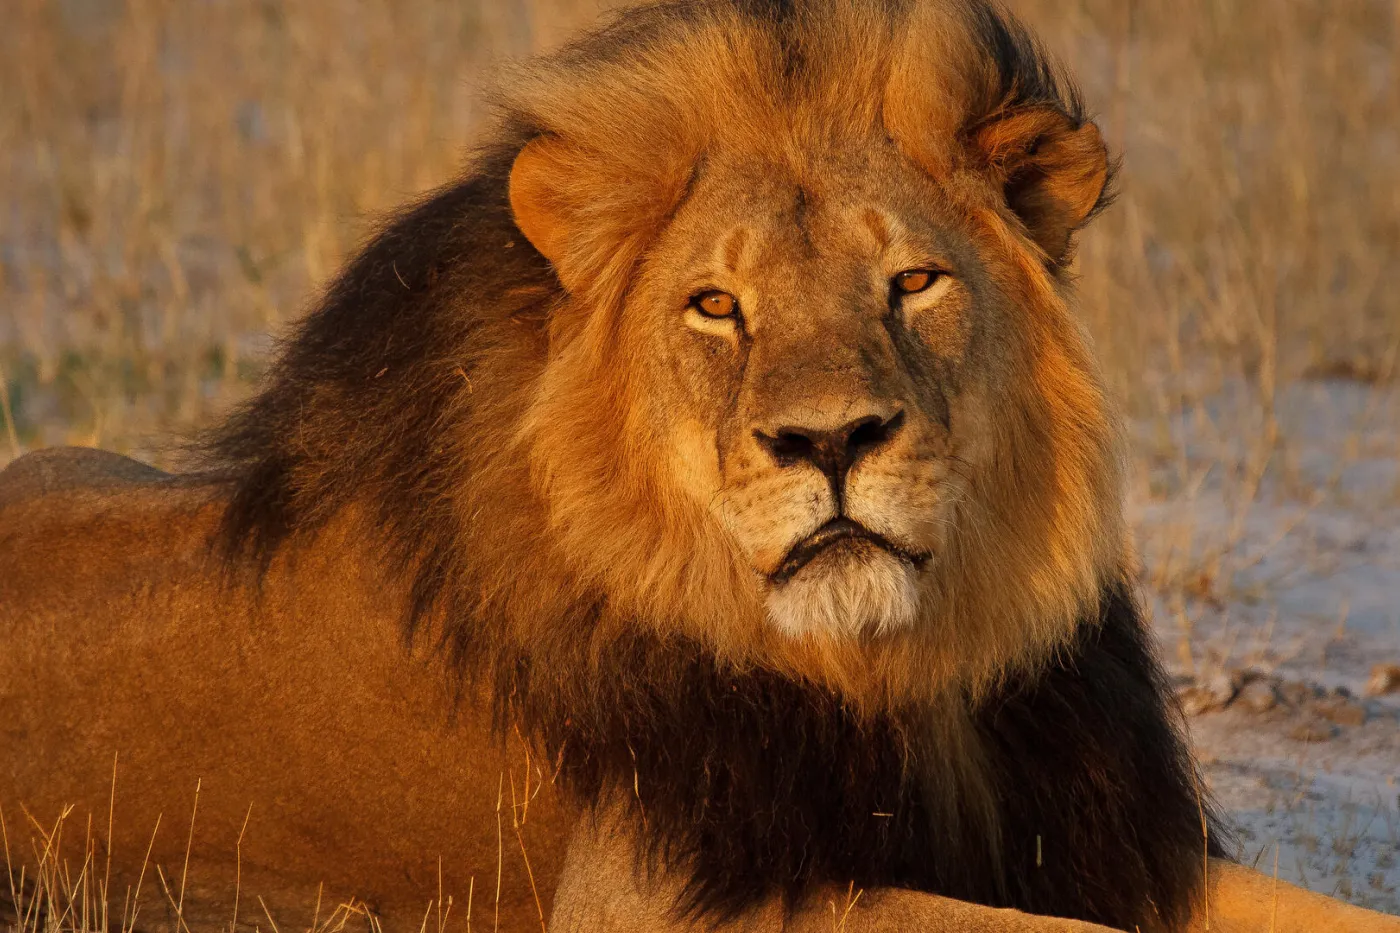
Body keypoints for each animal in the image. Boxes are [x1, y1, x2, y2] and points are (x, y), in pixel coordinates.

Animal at [2, 1, 1396, 932]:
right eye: (716, 307)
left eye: (912, 282)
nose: (828, 440)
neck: (894, 673)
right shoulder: (655, 897)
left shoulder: (1088, 841)